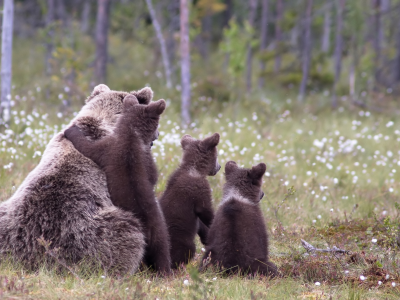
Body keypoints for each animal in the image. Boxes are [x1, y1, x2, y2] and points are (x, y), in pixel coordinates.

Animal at [65, 95, 171, 274]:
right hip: (161, 232)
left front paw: (71, 131)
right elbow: (152, 175)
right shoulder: (144, 160)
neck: (132, 135)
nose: (158, 135)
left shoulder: (108, 149)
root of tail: (148, 230)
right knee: (162, 252)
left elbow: (87, 147)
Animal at [160, 134, 222, 268]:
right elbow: (206, 211)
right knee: (186, 249)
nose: (219, 167)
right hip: (180, 238)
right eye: (217, 156)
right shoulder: (199, 190)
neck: (194, 169)